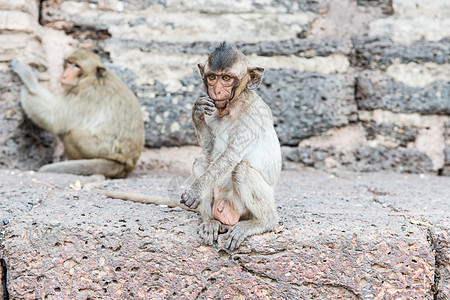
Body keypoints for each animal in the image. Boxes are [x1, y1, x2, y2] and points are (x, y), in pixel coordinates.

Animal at [9, 48, 144, 178]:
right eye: (69, 63)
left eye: (77, 66)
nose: (64, 75)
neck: (92, 79)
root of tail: (127, 164)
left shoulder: (85, 94)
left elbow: (54, 120)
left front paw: (29, 78)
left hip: (93, 150)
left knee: (74, 132)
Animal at [106, 41, 282, 250]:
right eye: (212, 77)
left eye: (226, 78)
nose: (216, 91)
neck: (231, 107)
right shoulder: (213, 111)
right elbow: (210, 151)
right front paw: (196, 111)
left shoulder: (252, 113)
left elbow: (231, 154)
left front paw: (195, 191)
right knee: (202, 162)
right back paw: (210, 222)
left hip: (246, 208)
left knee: (242, 169)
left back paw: (264, 222)